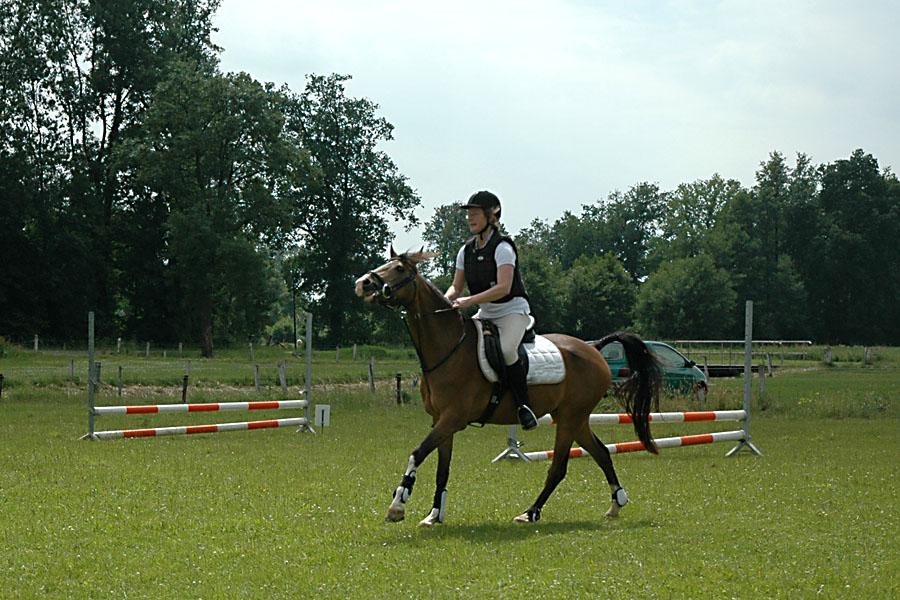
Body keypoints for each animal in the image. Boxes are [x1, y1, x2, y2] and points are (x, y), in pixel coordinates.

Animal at [354, 249, 661, 526]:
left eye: (399, 269)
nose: (363, 283)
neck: (449, 348)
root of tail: (594, 348)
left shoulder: (453, 418)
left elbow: (417, 453)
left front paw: (397, 505)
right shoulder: (441, 420)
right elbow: (443, 468)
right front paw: (434, 514)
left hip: (570, 419)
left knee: (559, 467)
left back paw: (531, 512)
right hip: (575, 418)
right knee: (602, 453)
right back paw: (615, 505)